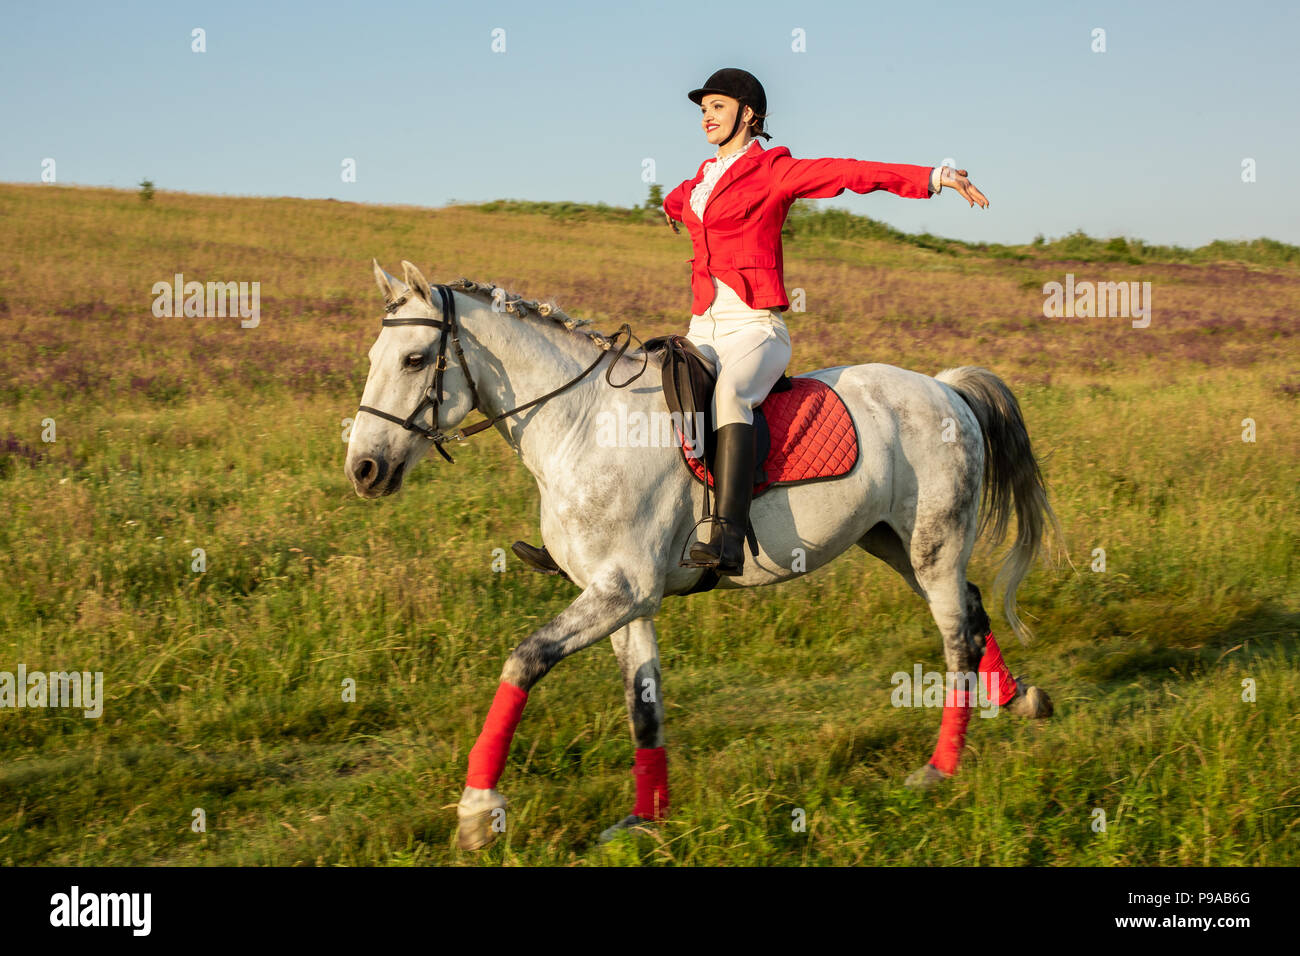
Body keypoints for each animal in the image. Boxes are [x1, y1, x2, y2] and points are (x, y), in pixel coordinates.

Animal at [346, 260, 1061, 851]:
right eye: (376, 356)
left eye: (414, 359)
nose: (364, 469)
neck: (581, 423)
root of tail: (946, 389)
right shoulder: (626, 601)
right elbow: (644, 707)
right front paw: (645, 821)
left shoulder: (621, 591)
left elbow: (525, 660)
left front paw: (478, 810)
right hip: (898, 547)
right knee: (971, 610)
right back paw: (1022, 700)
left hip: (932, 548)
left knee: (955, 637)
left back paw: (938, 770)